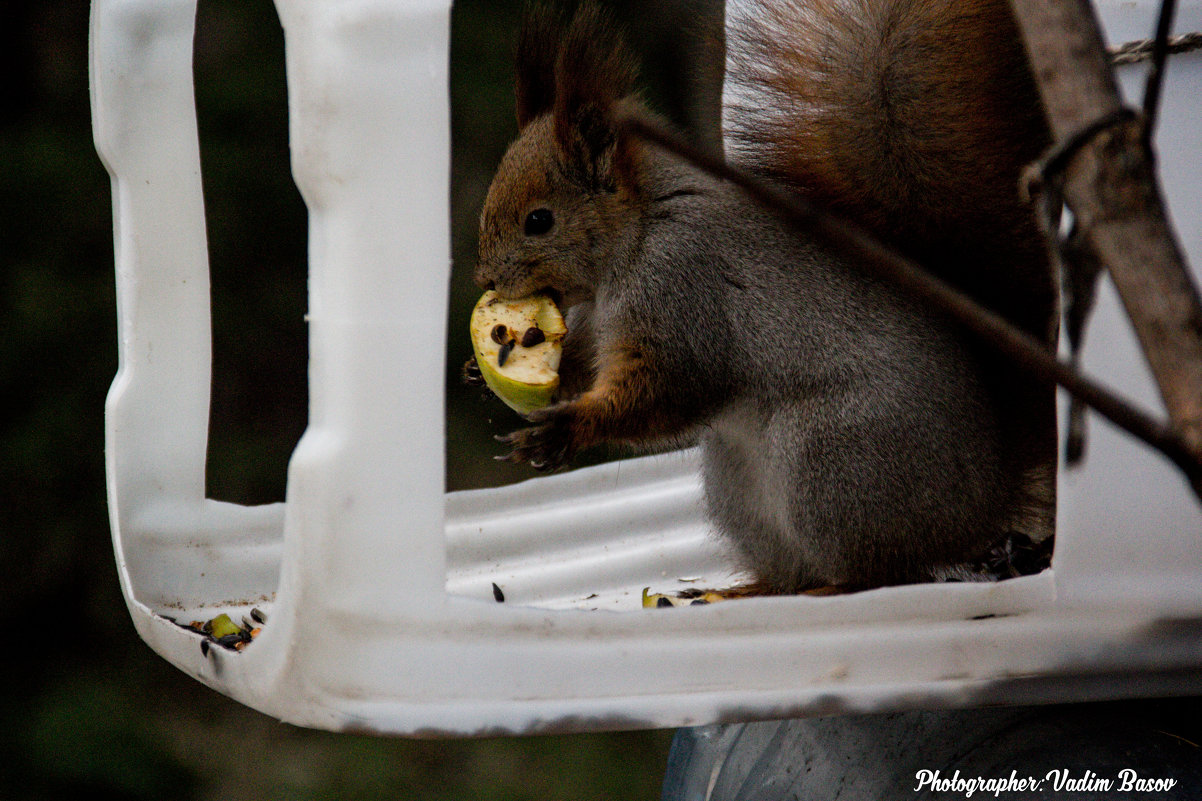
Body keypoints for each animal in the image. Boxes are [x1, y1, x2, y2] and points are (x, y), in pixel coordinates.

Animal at [468, 0, 1052, 589]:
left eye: (539, 221)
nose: (486, 281)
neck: (637, 233)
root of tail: (988, 496)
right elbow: (587, 363)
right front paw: (500, 370)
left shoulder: (681, 288)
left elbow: (669, 388)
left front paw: (566, 429)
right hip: (738, 486)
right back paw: (759, 587)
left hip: (832, 459)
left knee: (888, 567)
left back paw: (841, 584)